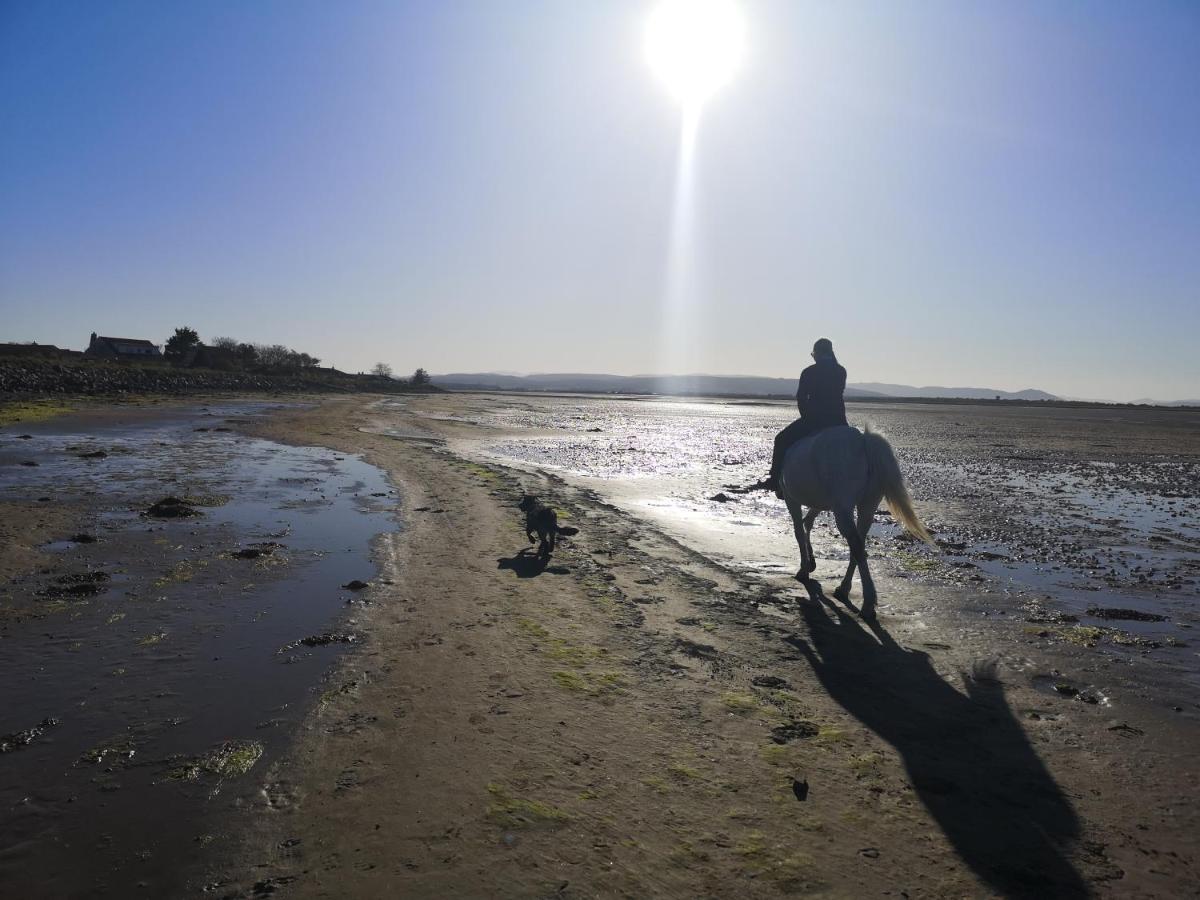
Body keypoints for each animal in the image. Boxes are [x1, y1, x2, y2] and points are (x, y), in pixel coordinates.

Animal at [777, 427, 936, 619]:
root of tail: (863, 439)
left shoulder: (791, 498)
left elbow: (799, 531)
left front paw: (804, 569)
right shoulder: (821, 504)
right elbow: (807, 523)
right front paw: (811, 562)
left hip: (842, 509)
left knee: (857, 546)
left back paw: (867, 603)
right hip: (866, 507)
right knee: (858, 544)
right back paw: (844, 589)